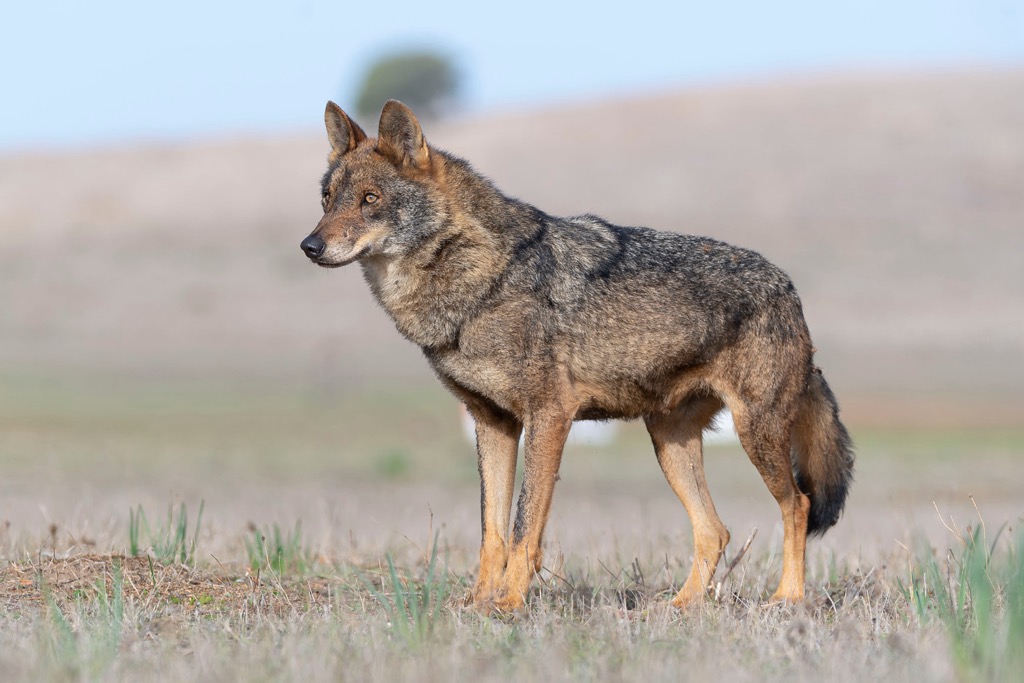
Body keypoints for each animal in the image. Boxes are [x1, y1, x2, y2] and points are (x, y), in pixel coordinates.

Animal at [299, 98, 851, 610]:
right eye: (327, 199)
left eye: (370, 199)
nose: (309, 246)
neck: (478, 278)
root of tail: (788, 287)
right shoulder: (492, 421)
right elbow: (491, 531)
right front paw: (478, 604)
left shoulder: (549, 416)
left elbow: (523, 529)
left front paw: (510, 604)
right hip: (669, 443)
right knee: (715, 530)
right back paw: (678, 608)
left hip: (754, 433)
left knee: (798, 505)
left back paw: (788, 599)